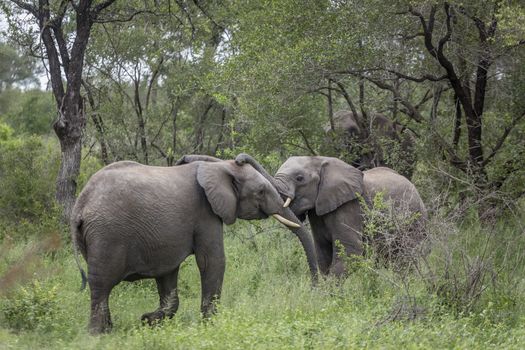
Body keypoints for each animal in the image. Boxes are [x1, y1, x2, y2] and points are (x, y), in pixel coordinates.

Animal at [69, 158, 316, 334]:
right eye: (261, 192)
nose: (316, 288)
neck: (219, 167)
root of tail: (80, 206)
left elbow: (168, 274)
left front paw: (148, 321)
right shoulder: (205, 212)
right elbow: (211, 261)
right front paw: (211, 325)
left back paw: (108, 330)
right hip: (106, 234)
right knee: (101, 285)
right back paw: (97, 334)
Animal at [235, 154, 428, 278]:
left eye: (299, 178)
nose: (239, 159)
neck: (320, 160)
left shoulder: (349, 206)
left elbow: (349, 250)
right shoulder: (318, 211)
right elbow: (322, 252)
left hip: (415, 219)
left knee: (406, 257)